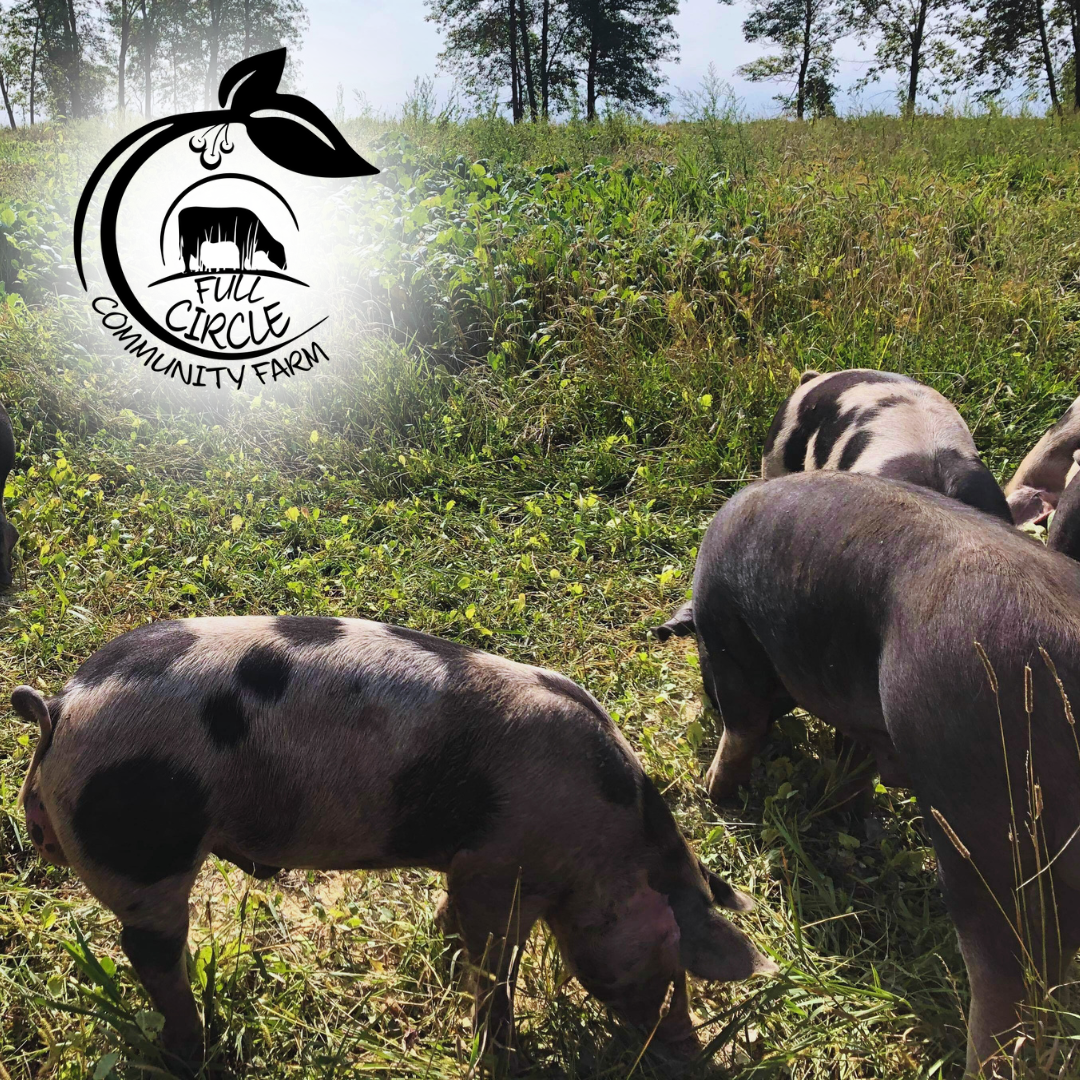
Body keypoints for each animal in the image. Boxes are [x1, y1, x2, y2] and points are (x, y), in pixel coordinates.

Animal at [13, 616, 775, 1073]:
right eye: (671, 965)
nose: (687, 1053)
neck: (608, 841)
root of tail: (61, 708)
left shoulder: (475, 864)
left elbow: (455, 922)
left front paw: (439, 953)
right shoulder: (498, 867)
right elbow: (495, 967)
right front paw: (501, 1054)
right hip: (147, 854)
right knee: (150, 953)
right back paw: (193, 1051)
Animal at [654, 470, 1080, 1074]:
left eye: (701, 661)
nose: (703, 698)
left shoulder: (731, 643)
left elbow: (743, 728)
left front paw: (712, 792)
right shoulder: (862, 717)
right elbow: (852, 770)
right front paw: (833, 815)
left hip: (996, 831)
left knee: (1007, 979)